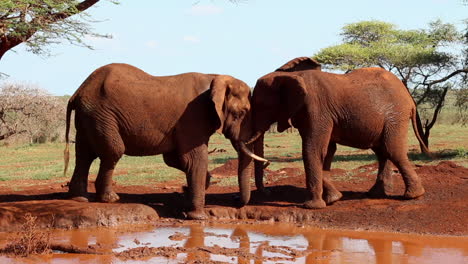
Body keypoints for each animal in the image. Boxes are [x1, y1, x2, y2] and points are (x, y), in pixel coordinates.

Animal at [63, 63, 266, 220]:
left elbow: (175, 159)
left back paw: (79, 199)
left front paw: (190, 190)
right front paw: (197, 217)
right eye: (241, 113)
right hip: (102, 116)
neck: (215, 77)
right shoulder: (193, 117)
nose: (235, 199)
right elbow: (194, 159)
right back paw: (110, 199)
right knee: (112, 152)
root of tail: (78, 92)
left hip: (88, 116)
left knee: (84, 155)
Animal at [247, 57, 430, 208]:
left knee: (392, 150)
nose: (268, 192)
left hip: (395, 116)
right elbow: (327, 151)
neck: (289, 77)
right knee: (382, 151)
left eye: (261, 106)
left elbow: (313, 151)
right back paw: (375, 194)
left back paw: (413, 195)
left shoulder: (316, 110)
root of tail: (409, 97)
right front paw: (334, 199)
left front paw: (312, 206)